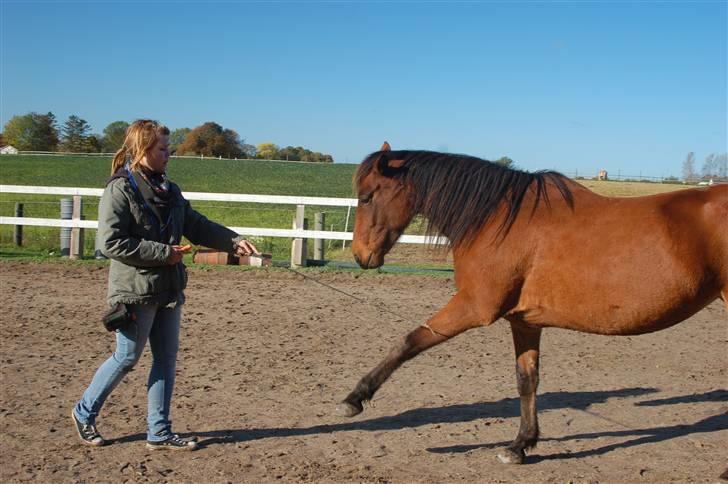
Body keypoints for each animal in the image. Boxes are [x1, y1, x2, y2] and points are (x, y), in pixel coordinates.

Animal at [336, 142, 728, 464]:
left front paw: (355, 398)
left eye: (367, 196)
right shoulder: (524, 321)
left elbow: (410, 341)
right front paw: (520, 444)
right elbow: (527, 380)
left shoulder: (474, 307)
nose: (360, 256)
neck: (498, 219)